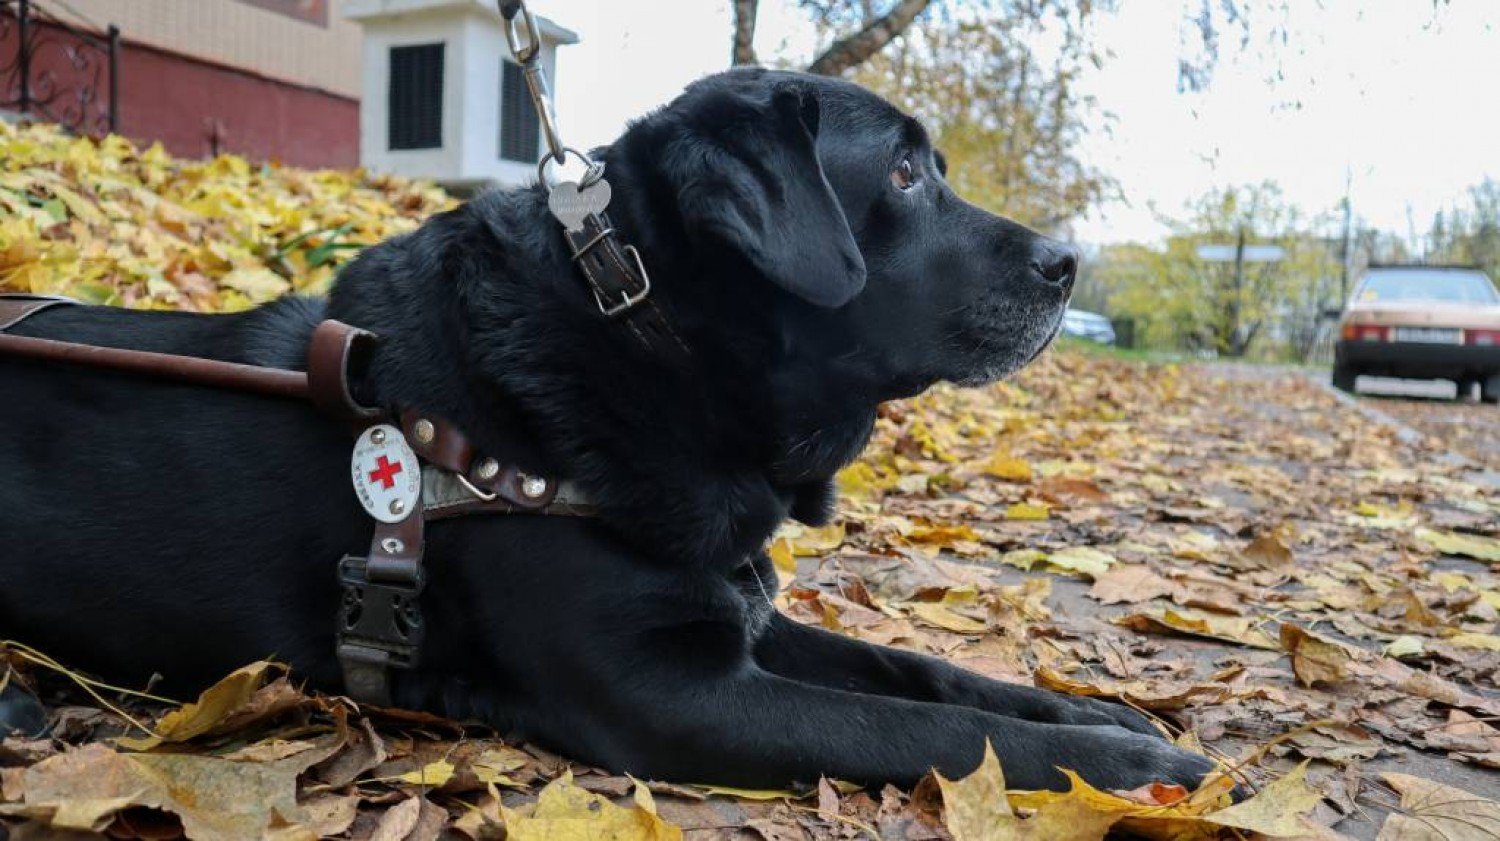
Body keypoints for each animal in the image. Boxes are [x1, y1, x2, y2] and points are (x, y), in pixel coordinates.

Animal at [0, 70, 1218, 791]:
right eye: (906, 171)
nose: (1069, 264)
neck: (657, 353)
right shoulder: (671, 694)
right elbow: (933, 732)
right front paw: (1125, 764)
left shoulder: (736, 615)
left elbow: (928, 673)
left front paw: (1103, 712)